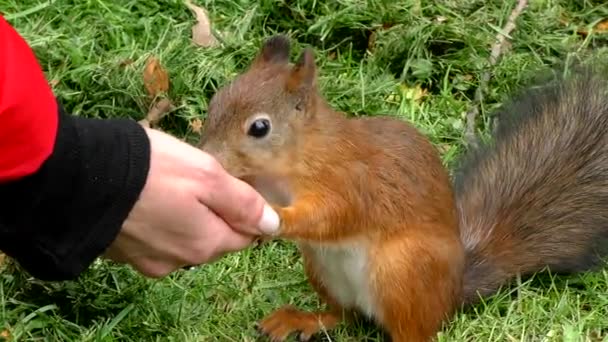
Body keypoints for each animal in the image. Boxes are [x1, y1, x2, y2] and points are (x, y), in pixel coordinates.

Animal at [197, 35, 608, 342]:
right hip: (323, 268)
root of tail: (451, 294)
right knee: (345, 315)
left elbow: (330, 215)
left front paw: (278, 219)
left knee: (411, 332)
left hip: (402, 270)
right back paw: (303, 320)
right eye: (217, 100)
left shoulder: (350, 182)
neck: (293, 161)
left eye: (260, 127)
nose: (210, 158)